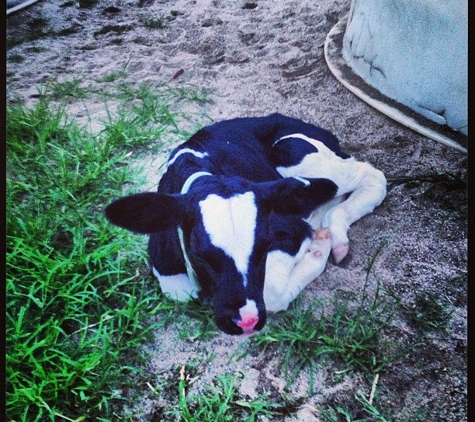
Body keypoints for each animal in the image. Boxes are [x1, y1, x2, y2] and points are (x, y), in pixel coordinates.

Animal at [105, 113, 386, 336]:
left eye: (264, 246)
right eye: (201, 254)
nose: (246, 322)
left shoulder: (289, 230)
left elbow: (271, 292)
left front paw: (319, 248)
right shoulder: (167, 270)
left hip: (291, 149)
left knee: (372, 175)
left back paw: (335, 235)